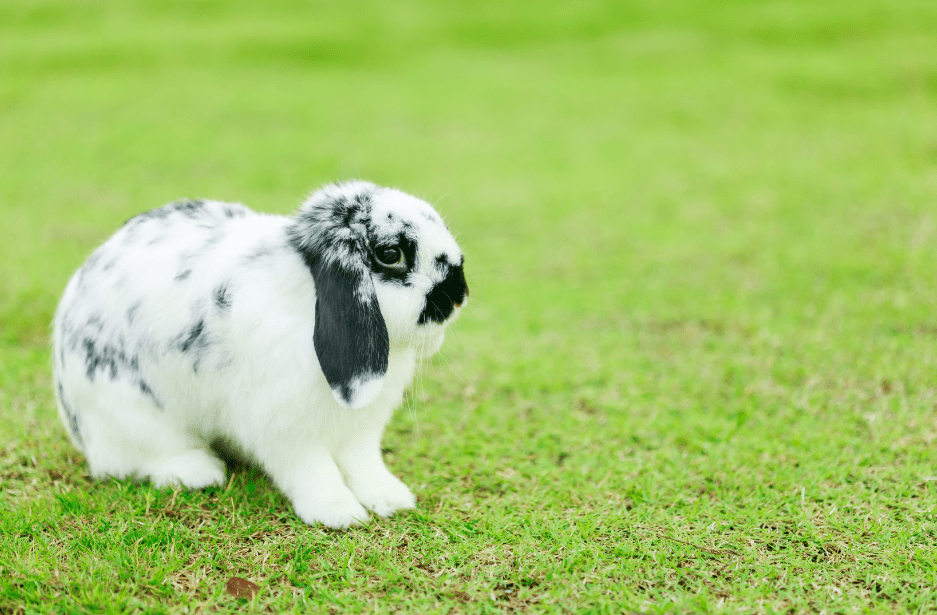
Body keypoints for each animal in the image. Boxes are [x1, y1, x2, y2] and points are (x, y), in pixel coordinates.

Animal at [51, 181, 468, 529]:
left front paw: (392, 499)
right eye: (390, 254)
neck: (305, 298)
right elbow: (313, 471)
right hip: (135, 417)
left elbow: (364, 465)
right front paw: (338, 513)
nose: (459, 294)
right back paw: (198, 471)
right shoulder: (287, 430)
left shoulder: (358, 432)